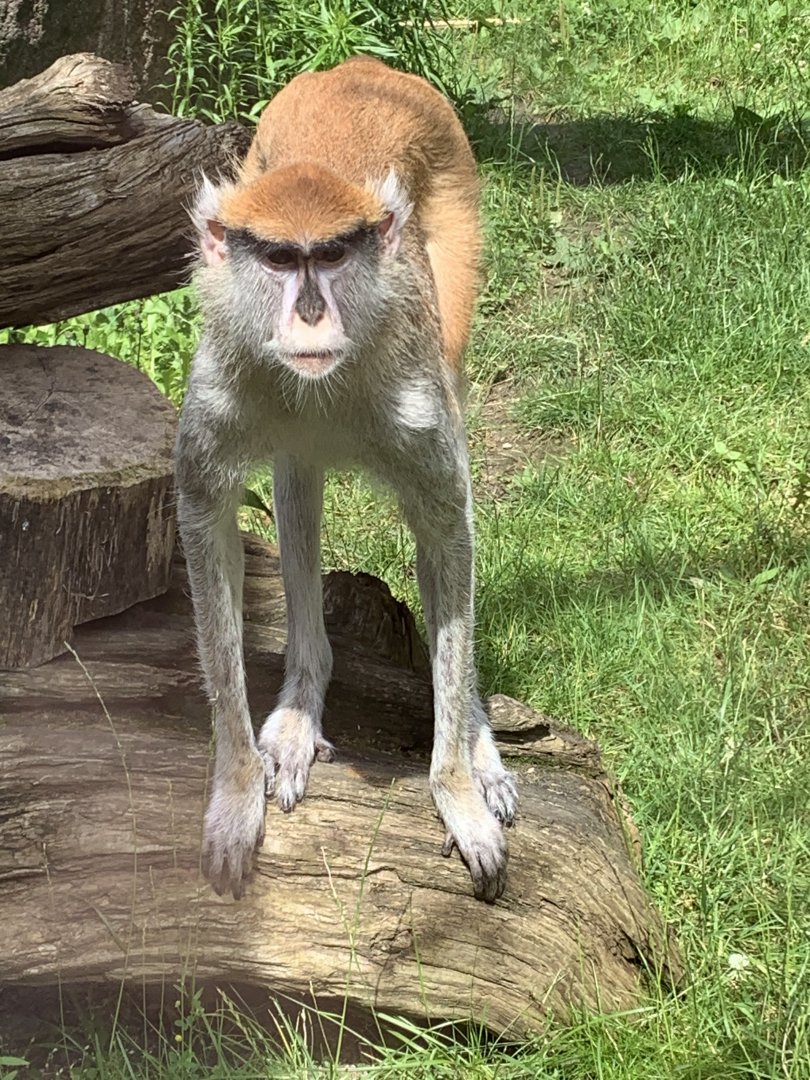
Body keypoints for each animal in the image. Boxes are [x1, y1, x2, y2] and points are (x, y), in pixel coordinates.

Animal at [175, 56, 518, 904]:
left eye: (330, 257)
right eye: (279, 260)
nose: (308, 315)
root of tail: (359, 66)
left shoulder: (413, 383)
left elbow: (447, 527)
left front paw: (457, 783)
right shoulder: (224, 374)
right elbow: (207, 521)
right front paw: (235, 793)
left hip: (454, 225)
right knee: (297, 478)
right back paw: (306, 692)